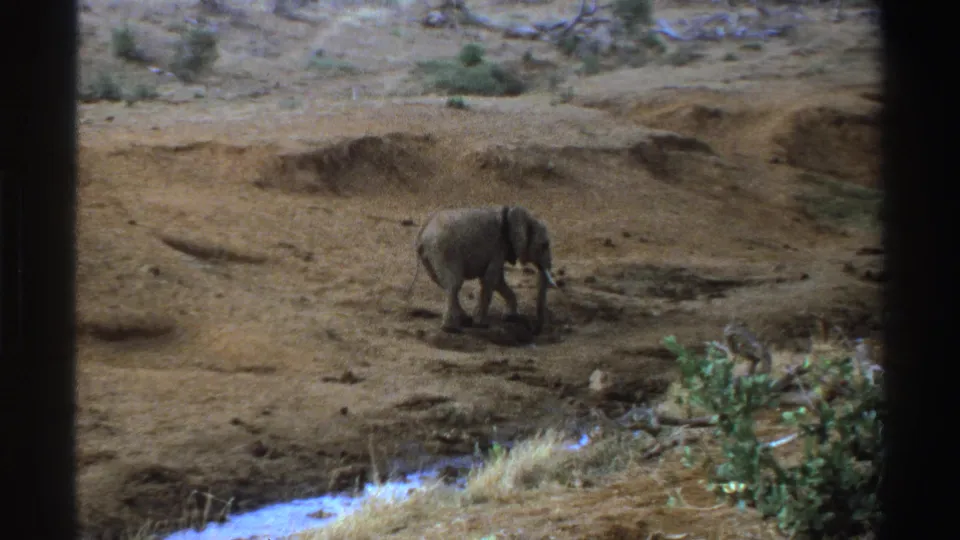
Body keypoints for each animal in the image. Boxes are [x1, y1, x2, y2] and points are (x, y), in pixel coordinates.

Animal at [406, 205, 558, 335]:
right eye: (544, 245)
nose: (535, 330)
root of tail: (423, 232)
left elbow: (498, 281)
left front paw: (510, 317)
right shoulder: (498, 246)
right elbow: (491, 279)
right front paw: (482, 324)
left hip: (430, 256)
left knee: (442, 282)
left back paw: (465, 320)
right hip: (444, 250)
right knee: (454, 283)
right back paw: (451, 329)